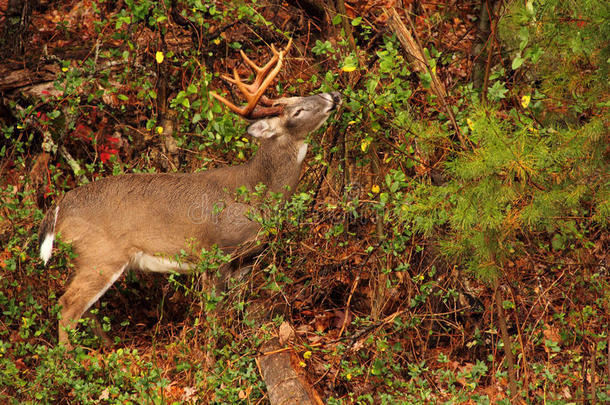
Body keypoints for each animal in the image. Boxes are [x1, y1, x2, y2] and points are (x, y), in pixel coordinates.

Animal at [39, 40, 342, 344]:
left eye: (298, 96)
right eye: (297, 112)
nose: (335, 95)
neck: (257, 193)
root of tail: (59, 207)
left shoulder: (245, 260)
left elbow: (235, 307)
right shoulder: (216, 253)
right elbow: (214, 313)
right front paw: (213, 353)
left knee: (86, 309)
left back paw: (104, 346)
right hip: (99, 254)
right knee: (67, 306)